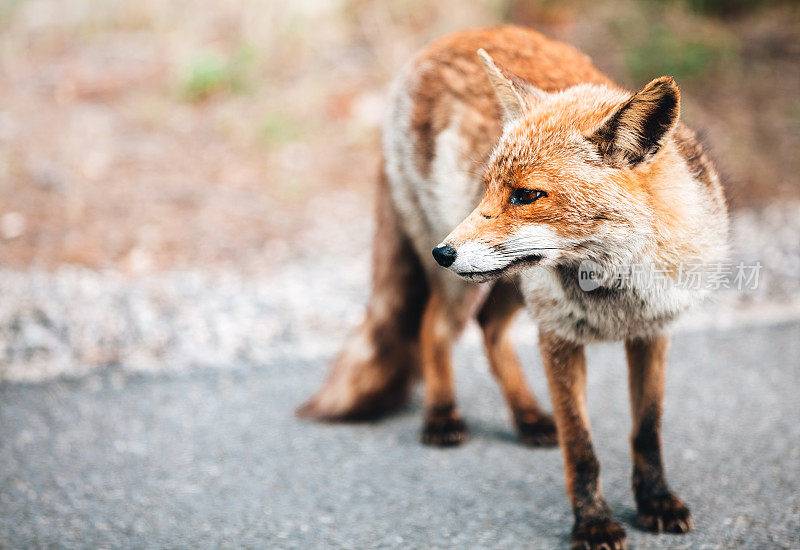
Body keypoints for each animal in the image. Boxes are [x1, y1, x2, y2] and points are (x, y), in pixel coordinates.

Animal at [296, 25, 728, 550]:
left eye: (526, 195)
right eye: (490, 189)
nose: (443, 253)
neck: (614, 291)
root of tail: (443, 41)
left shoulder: (652, 332)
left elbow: (646, 432)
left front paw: (656, 502)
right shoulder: (558, 337)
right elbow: (581, 449)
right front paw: (593, 523)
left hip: (509, 282)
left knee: (489, 327)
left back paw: (525, 416)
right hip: (470, 285)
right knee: (434, 328)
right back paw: (442, 415)